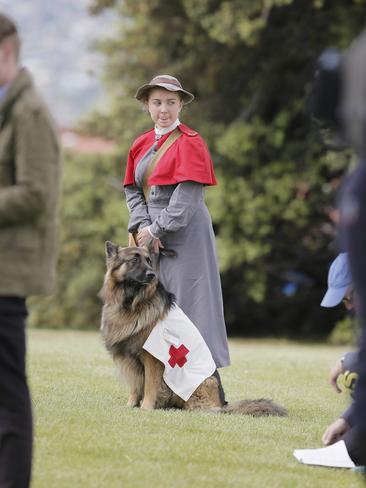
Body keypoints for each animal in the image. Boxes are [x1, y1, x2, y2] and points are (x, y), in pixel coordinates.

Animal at [100, 242, 288, 418]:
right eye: (134, 260)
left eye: (148, 261)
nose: (152, 275)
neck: (134, 303)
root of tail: (222, 405)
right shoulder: (130, 360)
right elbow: (135, 386)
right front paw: (131, 405)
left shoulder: (152, 359)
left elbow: (150, 387)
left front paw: (145, 408)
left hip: (204, 382)